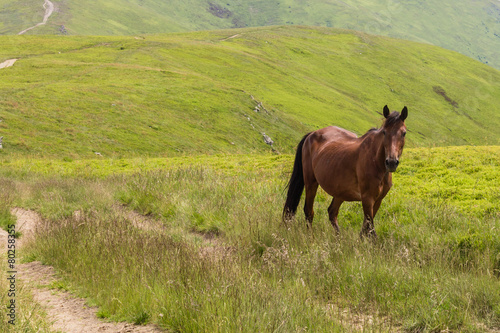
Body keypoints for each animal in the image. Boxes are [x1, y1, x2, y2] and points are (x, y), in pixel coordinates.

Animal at [284, 105, 408, 237]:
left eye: (404, 133)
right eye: (384, 132)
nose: (391, 162)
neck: (377, 163)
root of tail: (311, 134)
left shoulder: (378, 200)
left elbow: (365, 229)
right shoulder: (367, 199)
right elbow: (371, 230)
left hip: (340, 191)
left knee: (332, 212)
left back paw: (340, 238)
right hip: (311, 183)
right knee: (309, 211)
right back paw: (311, 237)